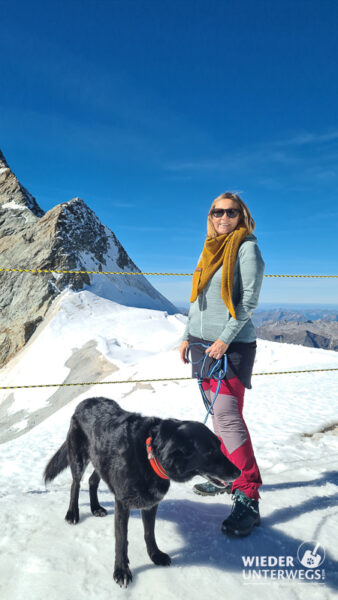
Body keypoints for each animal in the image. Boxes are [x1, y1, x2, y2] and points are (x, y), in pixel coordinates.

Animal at [44, 396, 240, 588]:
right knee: (75, 485)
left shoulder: (151, 503)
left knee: (93, 480)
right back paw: (72, 513)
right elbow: (121, 539)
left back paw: (96, 508)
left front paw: (155, 555)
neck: (149, 456)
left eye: (219, 446)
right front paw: (121, 571)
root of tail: (84, 402)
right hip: (79, 459)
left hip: (100, 460)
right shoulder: (122, 504)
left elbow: (149, 533)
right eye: (209, 451)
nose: (238, 472)